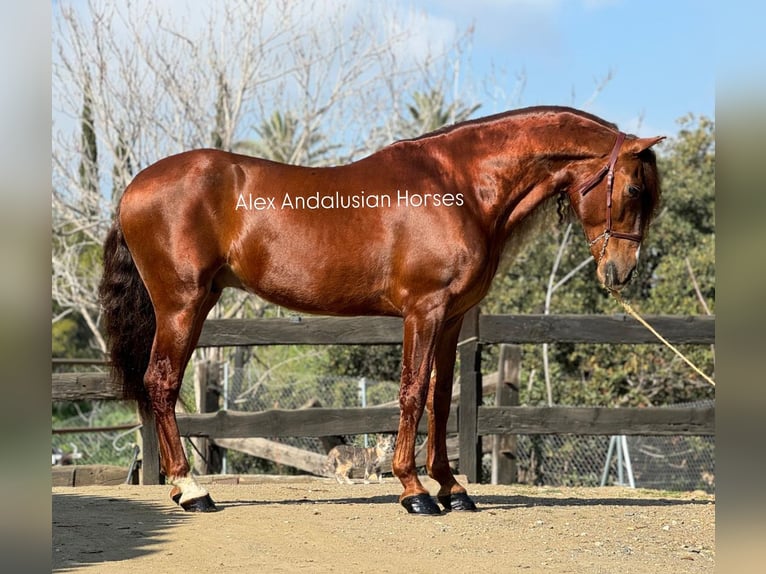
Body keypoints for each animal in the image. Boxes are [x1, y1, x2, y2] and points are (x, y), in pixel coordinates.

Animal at [99, 107, 664, 516]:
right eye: (635, 189)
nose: (621, 273)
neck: (458, 183)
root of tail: (133, 189)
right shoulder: (424, 310)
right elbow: (412, 393)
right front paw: (414, 491)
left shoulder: (452, 318)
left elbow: (441, 398)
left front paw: (452, 488)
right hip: (182, 304)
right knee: (161, 383)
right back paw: (191, 489)